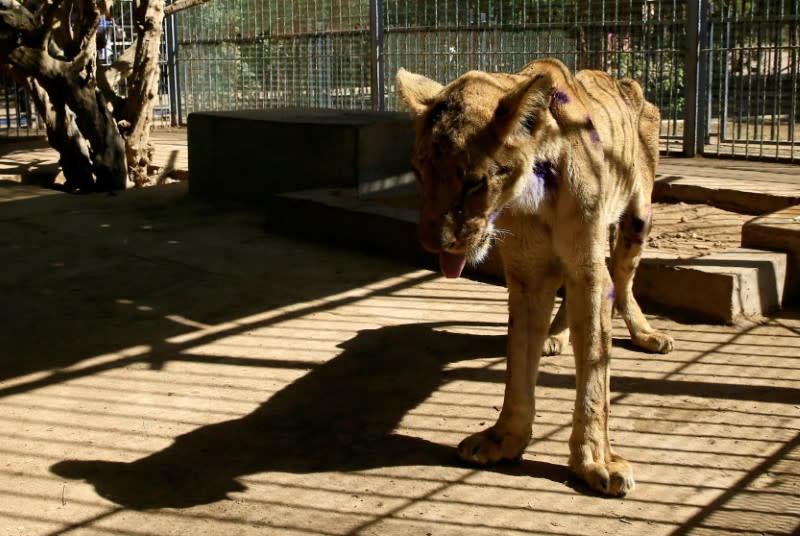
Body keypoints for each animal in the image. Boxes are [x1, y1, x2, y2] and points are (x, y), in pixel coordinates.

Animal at [396, 56, 672, 496]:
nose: (434, 244)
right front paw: (503, 440)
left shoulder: (588, 268)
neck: (529, 196)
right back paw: (556, 337)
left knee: (623, 277)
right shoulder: (527, 276)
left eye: (475, 182)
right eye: (419, 174)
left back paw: (645, 333)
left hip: (638, 214)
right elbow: (518, 361)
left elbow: (595, 371)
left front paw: (596, 461)